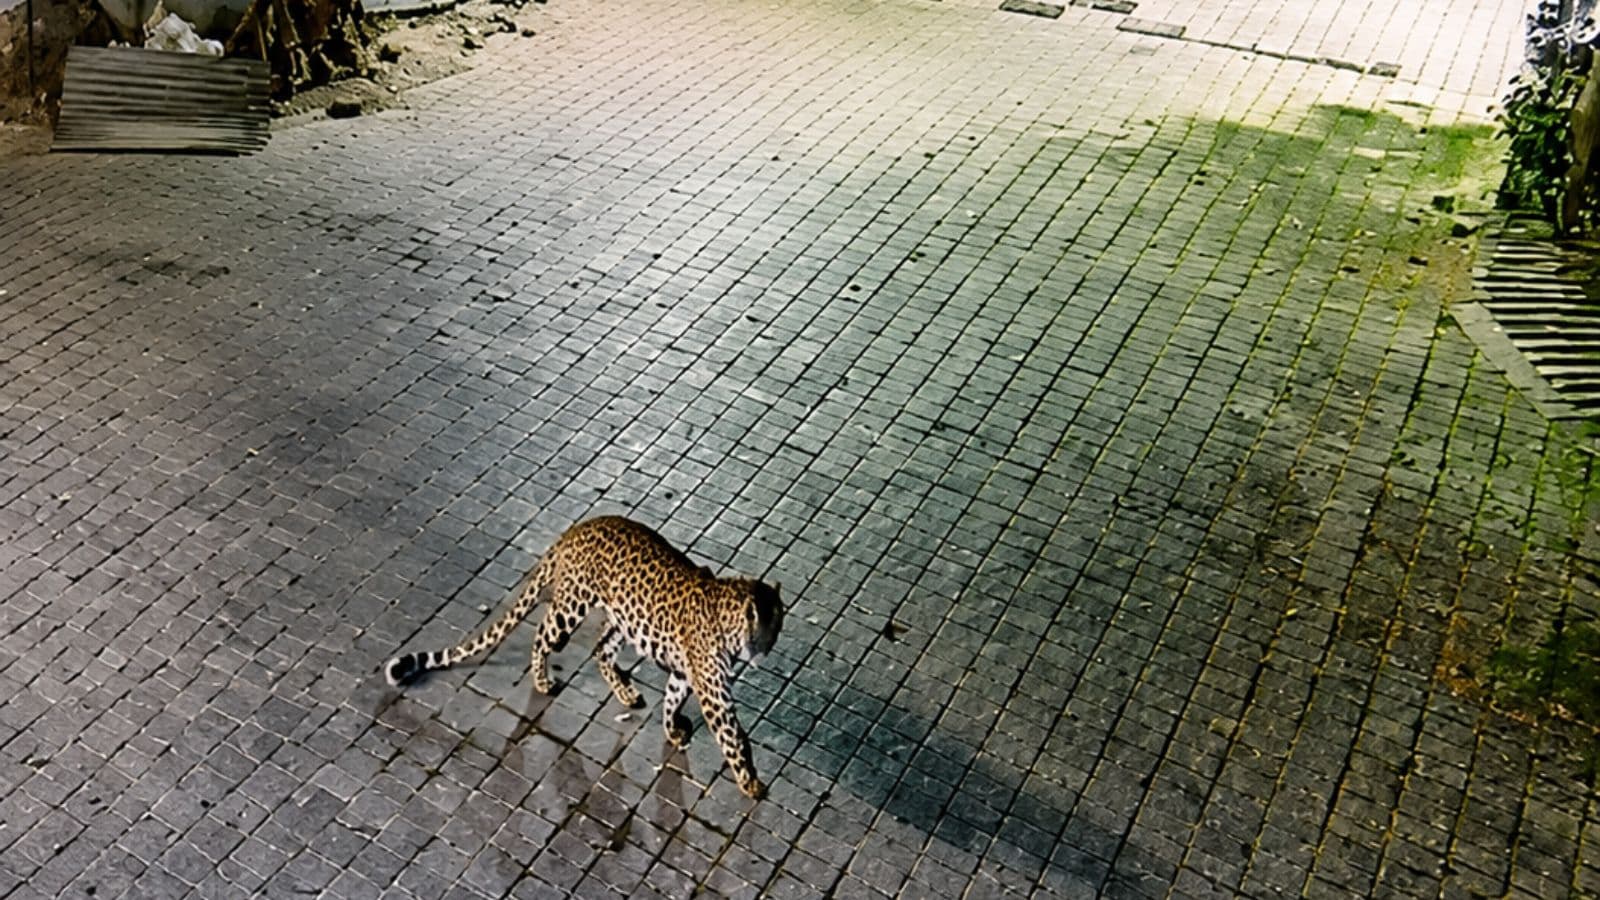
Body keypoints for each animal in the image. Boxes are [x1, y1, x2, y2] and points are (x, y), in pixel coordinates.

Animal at [384, 515, 784, 799]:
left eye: (779, 625)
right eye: (763, 628)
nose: (767, 649)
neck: (729, 623)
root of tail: (577, 529)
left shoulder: (686, 675)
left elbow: (672, 701)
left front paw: (673, 730)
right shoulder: (715, 694)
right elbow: (733, 737)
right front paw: (750, 782)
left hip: (623, 620)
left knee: (599, 651)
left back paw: (626, 693)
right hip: (570, 609)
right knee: (542, 635)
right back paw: (542, 681)